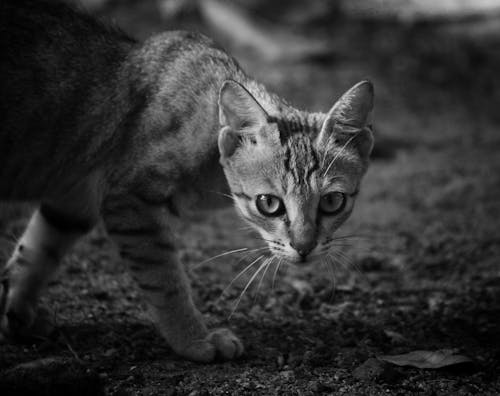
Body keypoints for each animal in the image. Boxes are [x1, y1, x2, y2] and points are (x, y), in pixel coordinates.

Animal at [0, 0, 374, 362]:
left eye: (332, 201)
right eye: (268, 204)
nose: (304, 247)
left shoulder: (74, 199)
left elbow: (37, 250)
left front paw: (17, 311)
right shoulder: (131, 204)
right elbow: (166, 281)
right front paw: (194, 339)